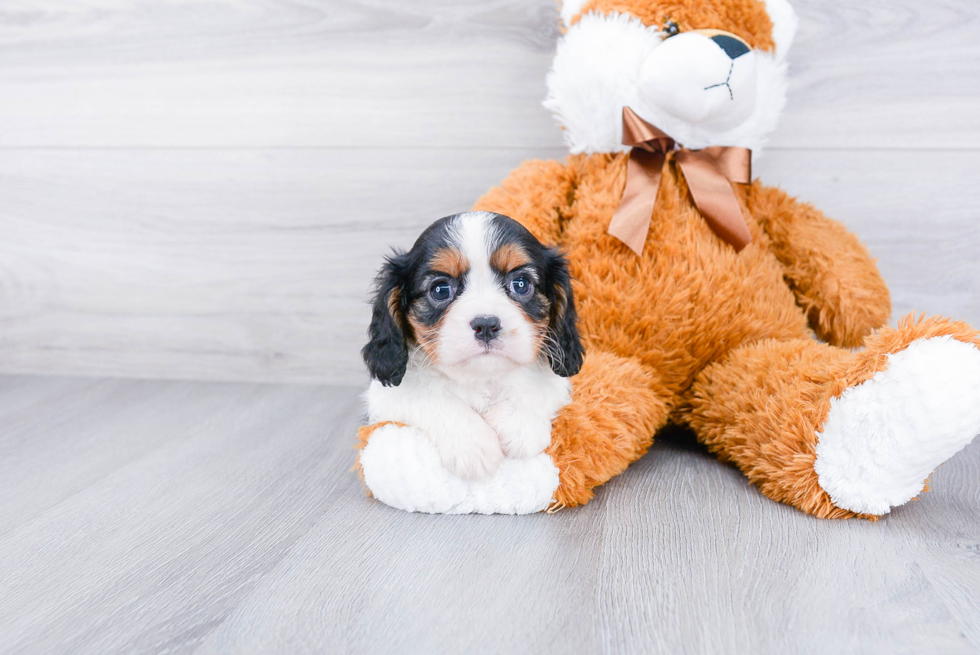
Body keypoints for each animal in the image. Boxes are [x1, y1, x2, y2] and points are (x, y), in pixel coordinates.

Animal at [366, 213, 580, 480]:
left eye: (520, 284)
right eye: (440, 290)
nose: (486, 325)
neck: (480, 378)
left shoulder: (558, 381)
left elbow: (540, 386)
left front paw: (519, 424)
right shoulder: (384, 397)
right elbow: (429, 397)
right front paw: (472, 444)